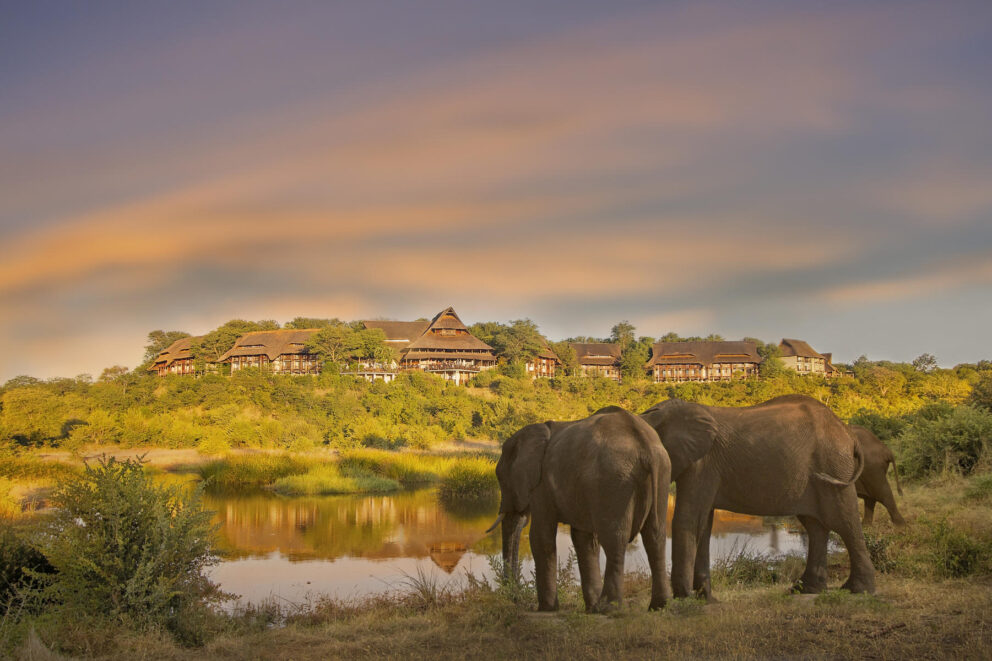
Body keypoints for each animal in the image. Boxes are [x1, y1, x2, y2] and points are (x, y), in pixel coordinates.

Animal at [489, 407, 672, 612]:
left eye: (500, 477)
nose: (515, 597)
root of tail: (645, 446)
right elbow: (584, 539)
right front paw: (590, 609)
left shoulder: (541, 486)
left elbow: (541, 537)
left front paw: (547, 608)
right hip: (661, 473)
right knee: (655, 537)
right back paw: (659, 606)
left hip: (615, 479)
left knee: (615, 540)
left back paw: (609, 608)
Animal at [640, 394, 875, 599]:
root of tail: (848, 433)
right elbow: (703, 523)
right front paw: (706, 599)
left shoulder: (702, 463)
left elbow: (687, 519)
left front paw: (685, 599)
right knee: (816, 527)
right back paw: (806, 590)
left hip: (834, 466)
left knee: (844, 521)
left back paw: (859, 590)